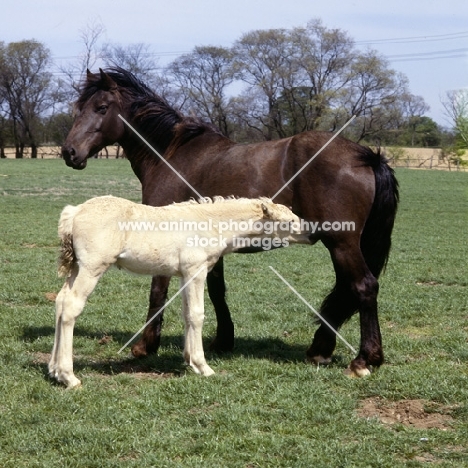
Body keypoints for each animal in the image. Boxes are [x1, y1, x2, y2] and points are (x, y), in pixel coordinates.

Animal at [49, 195, 308, 388]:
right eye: (288, 222)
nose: (311, 234)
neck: (210, 224)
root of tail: (75, 212)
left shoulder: (185, 275)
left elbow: (186, 315)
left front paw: (189, 361)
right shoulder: (196, 271)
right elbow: (197, 315)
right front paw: (203, 367)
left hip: (77, 268)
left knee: (61, 301)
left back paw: (53, 369)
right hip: (92, 268)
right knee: (71, 306)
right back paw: (69, 377)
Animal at [61, 68, 398, 376]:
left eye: (101, 107)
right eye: (79, 108)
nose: (68, 152)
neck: (171, 154)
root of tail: (367, 156)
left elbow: (159, 289)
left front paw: (146, 345)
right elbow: (216, 290)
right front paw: (222, 341)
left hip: (341, 243)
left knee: (363, 287)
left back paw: (365, 358)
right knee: (346, 291)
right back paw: (321, 350)